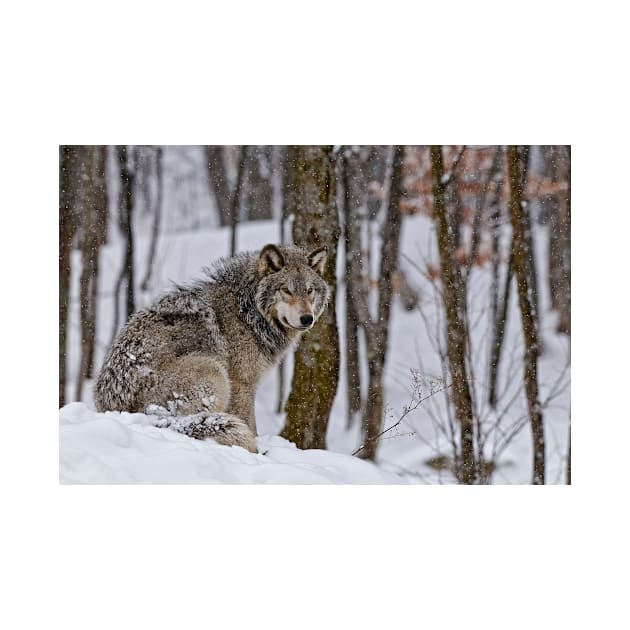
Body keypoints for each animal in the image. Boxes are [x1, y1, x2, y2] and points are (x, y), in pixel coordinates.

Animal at [95, 243, 330, 454]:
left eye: (309, 291)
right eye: (286, 290)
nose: (307, 319)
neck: (248, 312)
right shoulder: (241, 385)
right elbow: (250, 425)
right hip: (214, 372)